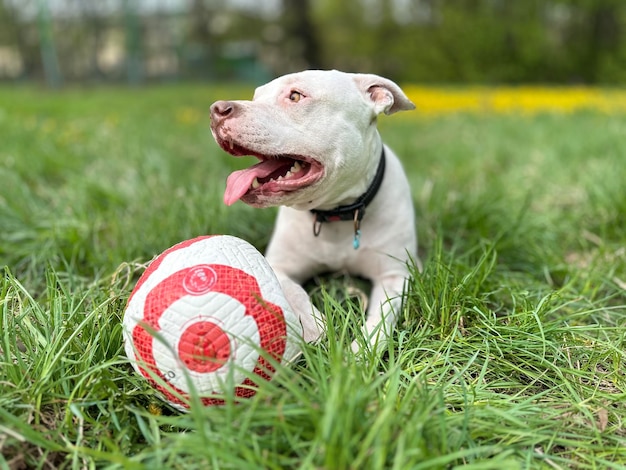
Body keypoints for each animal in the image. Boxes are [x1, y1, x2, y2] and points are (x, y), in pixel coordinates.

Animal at [208, 68, 414, 350]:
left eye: (295, 96)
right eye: (256, 96)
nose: (217, 109)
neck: (335, 213)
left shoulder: (395, 276)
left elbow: (382, 318)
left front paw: (359, 352)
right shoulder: (278, 266)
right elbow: (295, 292)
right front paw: (315, 326)